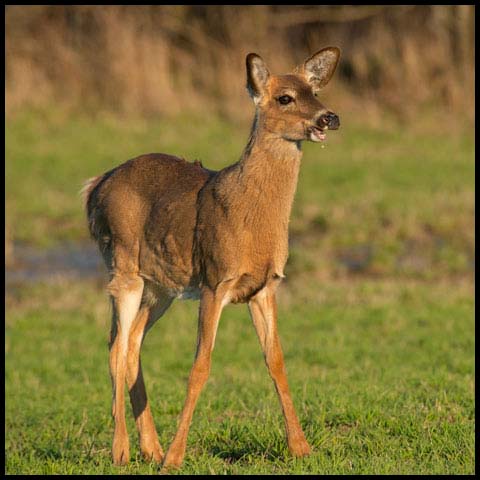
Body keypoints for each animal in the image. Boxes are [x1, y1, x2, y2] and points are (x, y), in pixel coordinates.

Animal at [83, 47, 342, 468]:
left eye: (315, 91)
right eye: (284, 97)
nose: (329, 117)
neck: (251, 220)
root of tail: (95, 187)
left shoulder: (264, 286)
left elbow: (277, 362)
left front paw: (301, 448)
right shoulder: (214, 280)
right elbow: (200, 366)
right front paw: (175, 458)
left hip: (161, 287)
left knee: (133, 344)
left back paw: (149, 448)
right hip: (122, 266)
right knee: (115, 347)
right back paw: (122, 451)